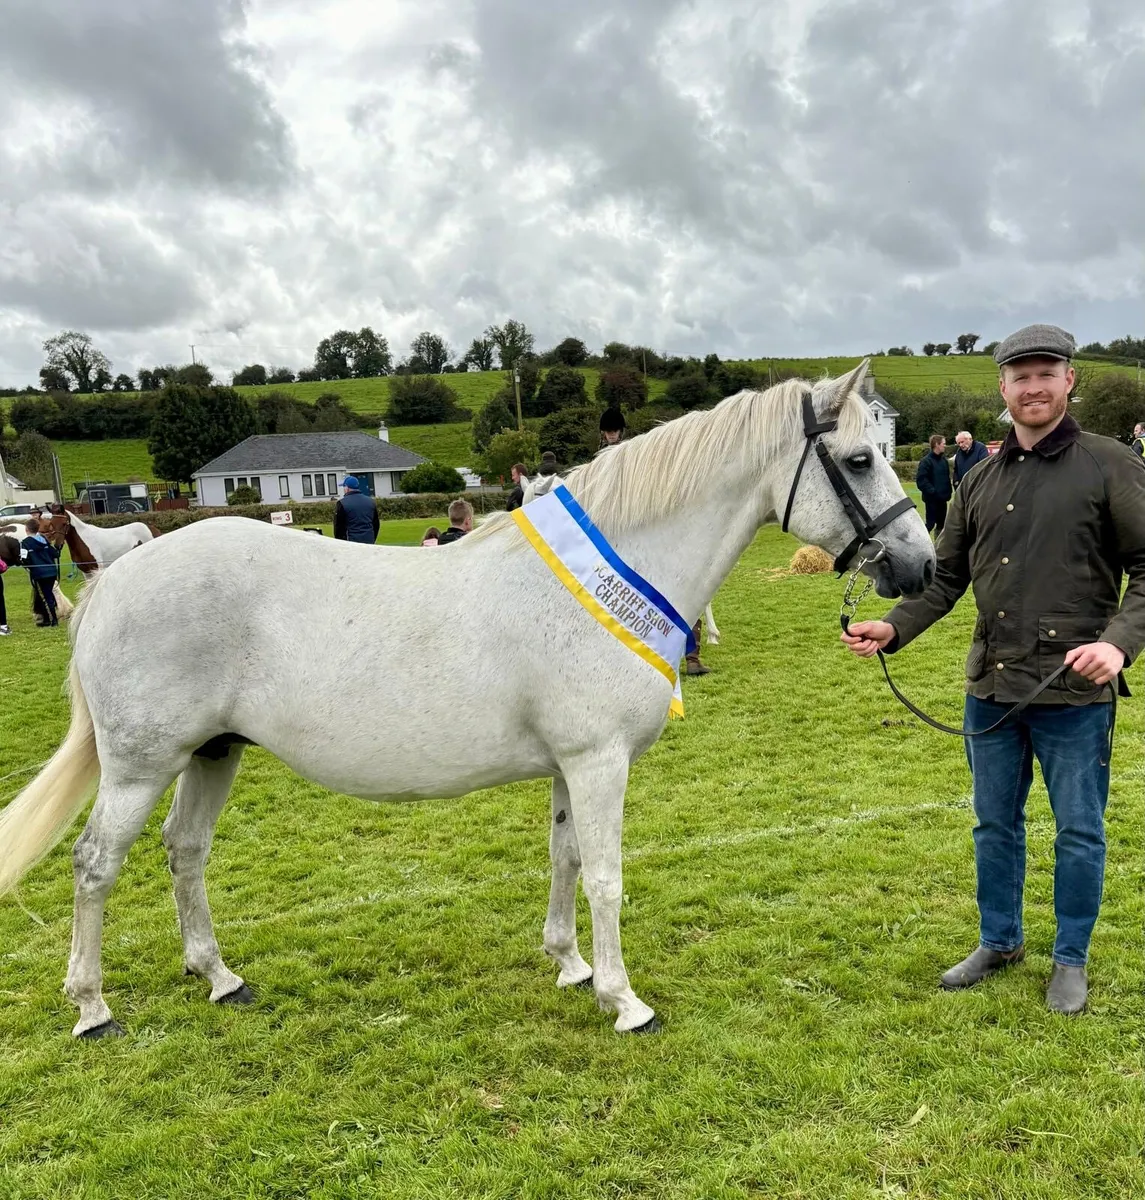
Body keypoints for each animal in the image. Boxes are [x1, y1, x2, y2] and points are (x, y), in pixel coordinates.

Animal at [0, 363, 935, 1039]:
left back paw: (221, 978)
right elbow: (605, 875)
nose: (920, 565)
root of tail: (118, 577)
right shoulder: (598, 763)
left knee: (184, 853)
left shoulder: (568, 766)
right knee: (96, 865)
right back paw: (93, 1007)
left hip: (212, 754)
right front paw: (624, 1000)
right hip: (139, 764)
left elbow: (563, 861)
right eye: (859, 460)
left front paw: (571, 967)